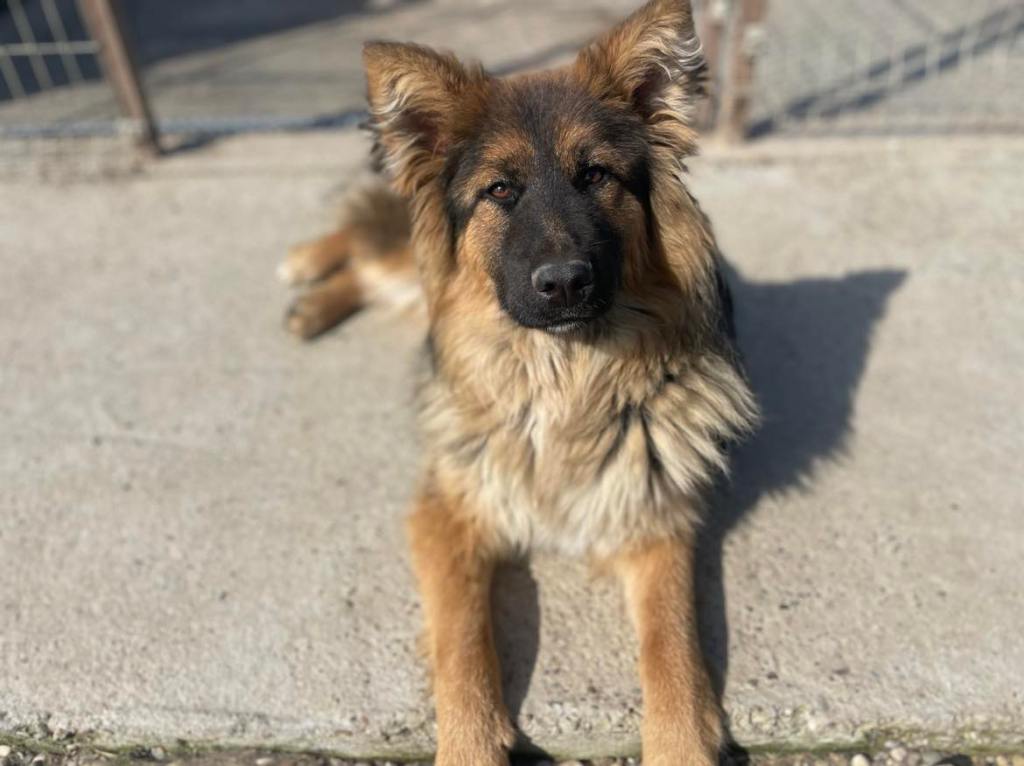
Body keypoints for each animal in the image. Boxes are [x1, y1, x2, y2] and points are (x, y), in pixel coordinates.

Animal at [278, 0, 759, 763]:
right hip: (406, 256)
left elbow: (674, 652)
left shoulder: (655, 523)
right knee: (368, 245)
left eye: (596, 176)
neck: (564, 380)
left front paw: (680, 740)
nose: (562, 285)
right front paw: (472, 740)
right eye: (499, 190)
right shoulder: (447, 510)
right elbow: (463, 644)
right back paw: (305, 271)